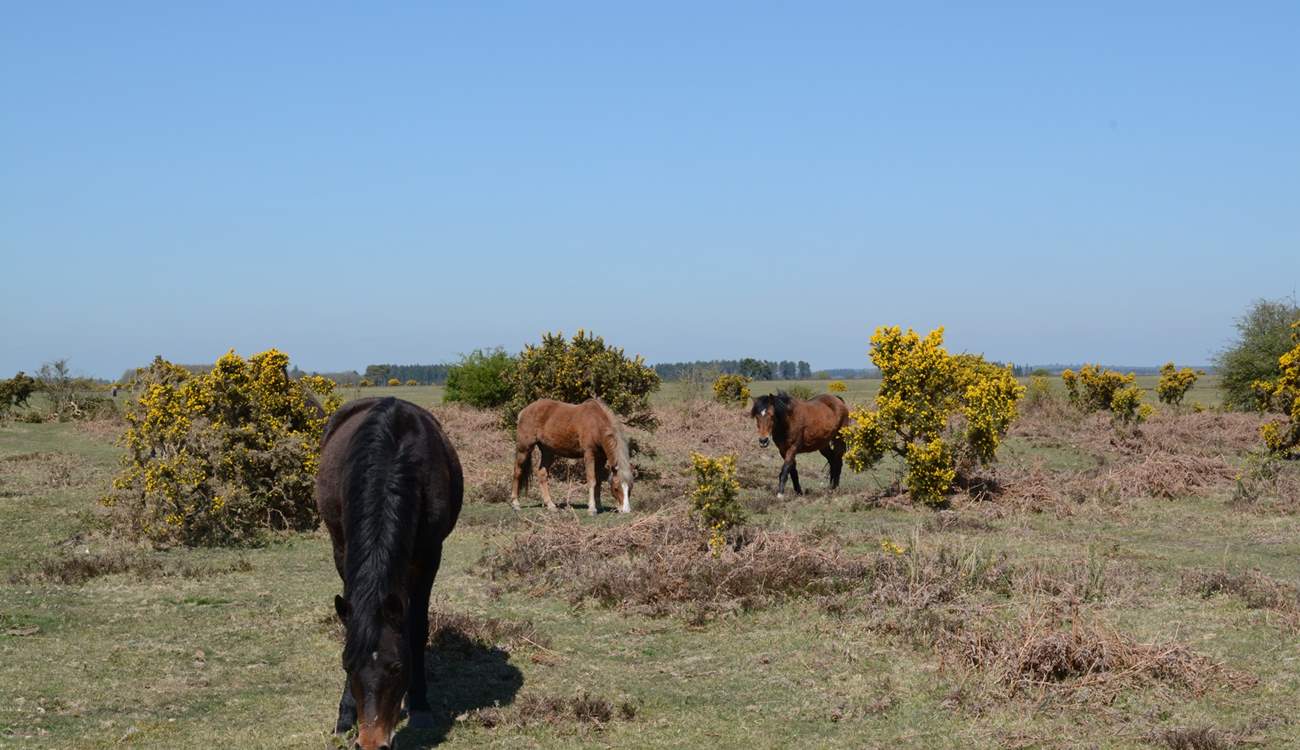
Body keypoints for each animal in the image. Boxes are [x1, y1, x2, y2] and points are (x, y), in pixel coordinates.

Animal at [316, 397, 463, 750]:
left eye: (396, 667)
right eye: (346, 664)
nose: (371, 744)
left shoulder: (429, 557)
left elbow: (417, 629)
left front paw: (420, 706)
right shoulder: (343, 550)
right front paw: (345, 716)